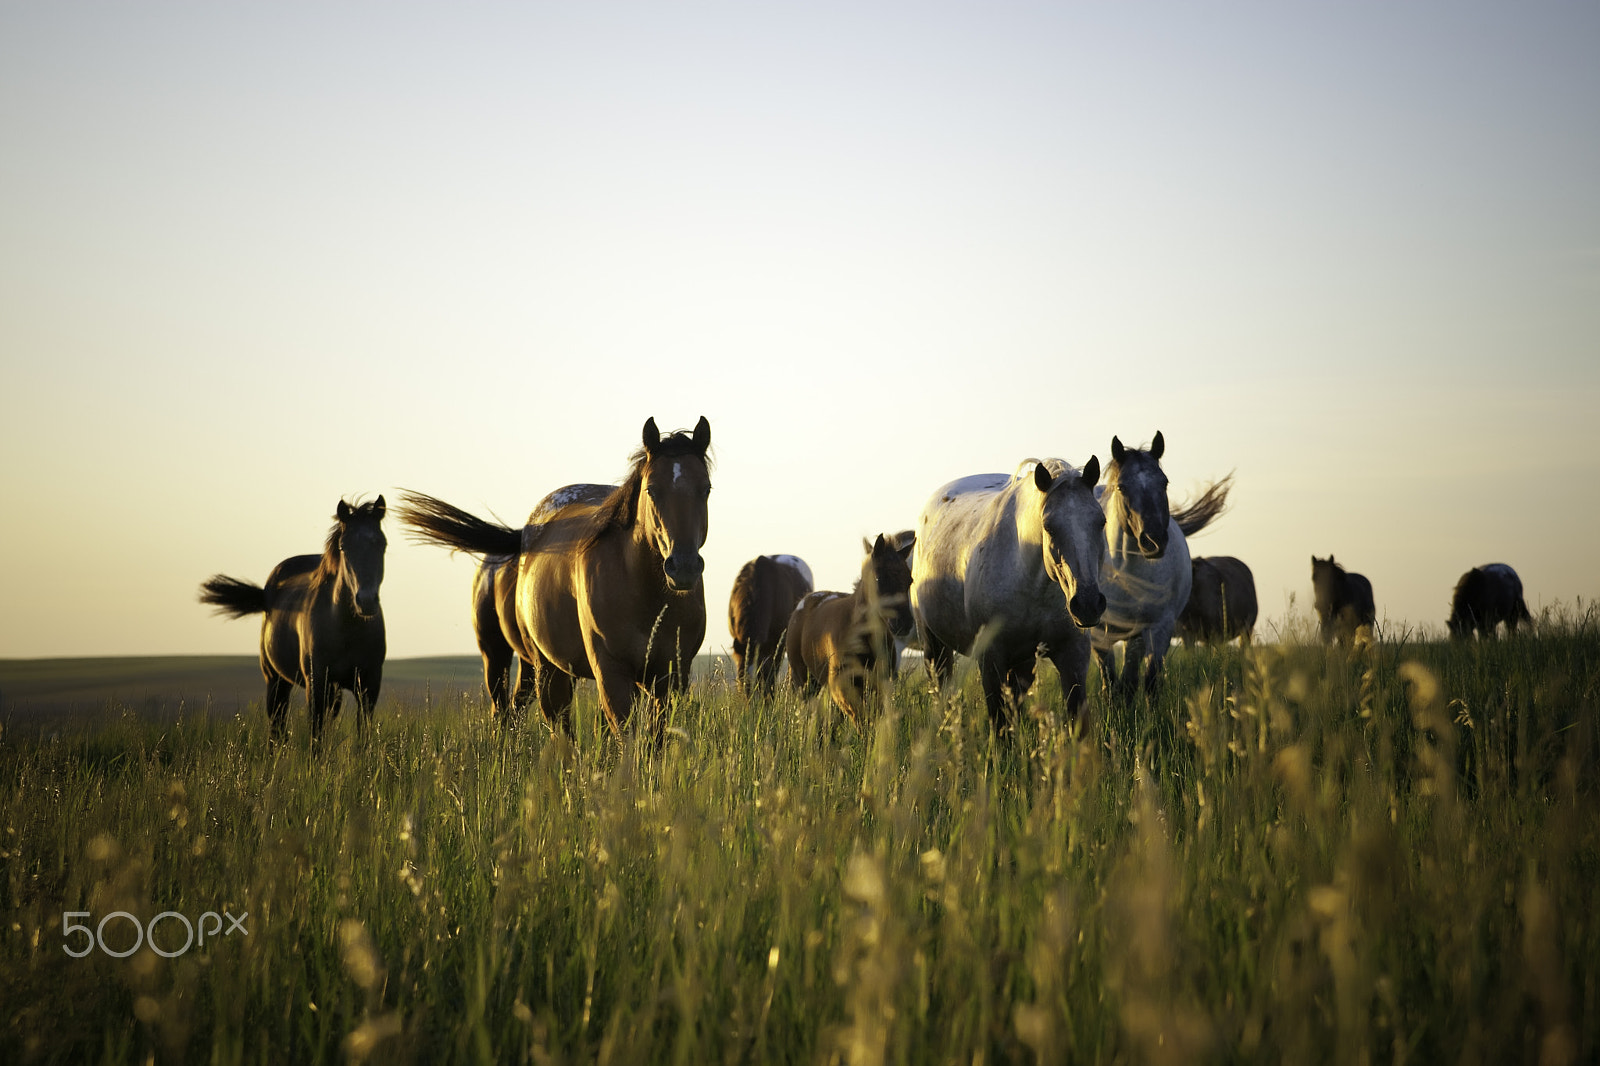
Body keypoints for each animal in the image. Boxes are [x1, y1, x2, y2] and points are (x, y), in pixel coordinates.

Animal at [198, 497, 387, 741]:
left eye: (382, 545)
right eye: (344, 547)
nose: (366, 601)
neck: (347, 629)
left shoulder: (368, 688)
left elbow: (363, 738)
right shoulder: (316, 686)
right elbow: (316, 737)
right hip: (276, 681)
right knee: (276, 729)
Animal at [396, 417, 711, 737]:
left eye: (706, 488)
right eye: (651, 490)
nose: (683, 567)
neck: (647, 595)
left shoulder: (670, 678)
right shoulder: (612, 674)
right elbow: (626, 736)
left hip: (536, 666)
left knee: (520, 710)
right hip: (516, 661)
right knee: (524, 718)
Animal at [786, 533, 915, 723]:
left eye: (909, 580)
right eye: (878, 578)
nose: (904, 623)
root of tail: (805, 601)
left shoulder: (879, 684)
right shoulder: (843, 685)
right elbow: (860, 717)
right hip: (804, 681)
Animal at [912, 456, 1106, 726]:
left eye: (1101, 522)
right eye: (1049, 527)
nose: (1087, 604)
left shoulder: (1073, 655)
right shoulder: (991, 658)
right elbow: (999, 721)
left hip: (1023, 661)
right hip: (934, 647)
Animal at [1092, 433, 1231, 700]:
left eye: (1164, 483)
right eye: (1122, 487)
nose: (1154, 540)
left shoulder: (1158, 629)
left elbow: (1149, 682)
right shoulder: (1099, 633)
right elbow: (1109, 684)